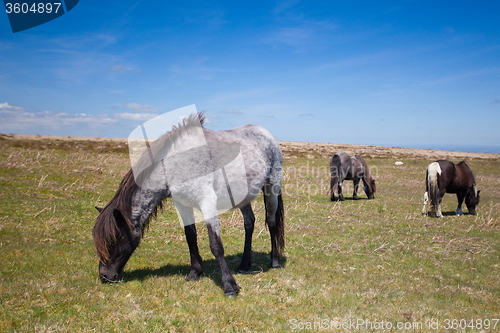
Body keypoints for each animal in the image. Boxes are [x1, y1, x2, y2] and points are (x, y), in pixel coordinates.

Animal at [92, 113, 284, 294]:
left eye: (112, 241)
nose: (105, 276)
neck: (176, 164)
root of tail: (267, 134)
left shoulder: (207, 203)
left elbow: (216, 245)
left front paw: (229, 285)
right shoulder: (182, 205)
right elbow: (190, 237)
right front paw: (195, 272)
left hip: (271, 187)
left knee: (272, 222)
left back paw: (275, 261)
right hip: (243, 197)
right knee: (249, 223)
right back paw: (244, 264)